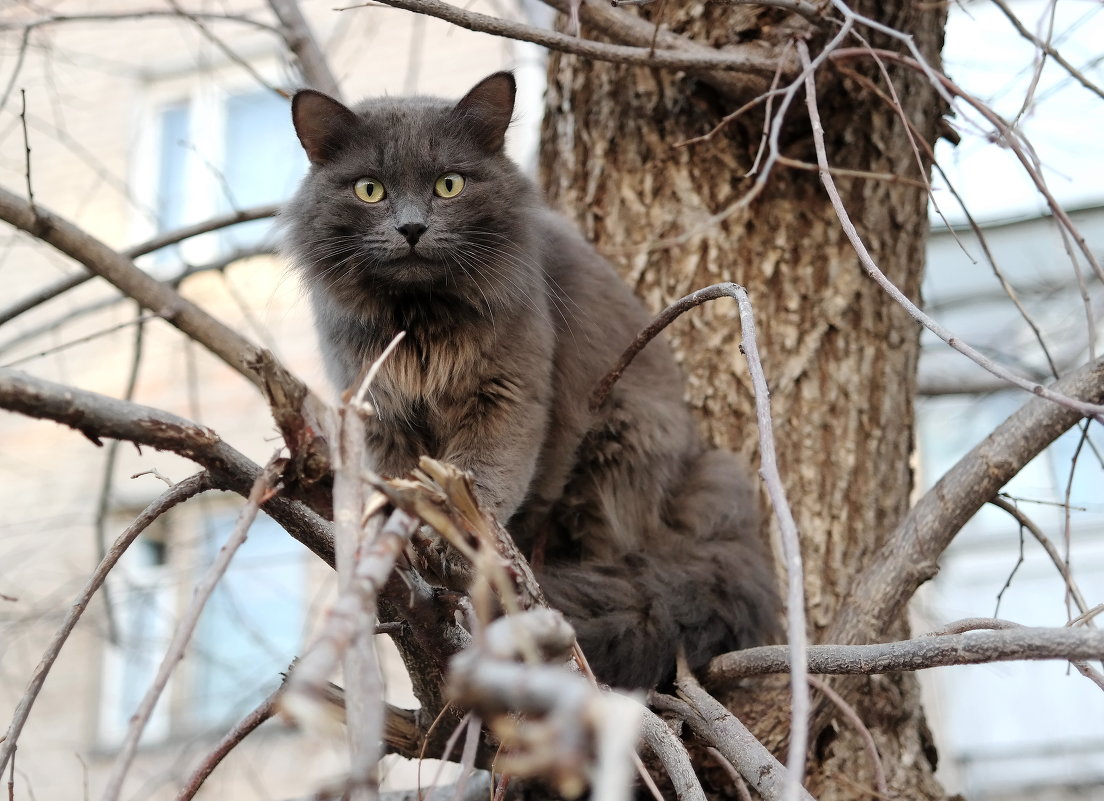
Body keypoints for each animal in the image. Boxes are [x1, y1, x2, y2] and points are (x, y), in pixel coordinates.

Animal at [284, 70, 786, 688]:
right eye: (369, 190)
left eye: (449, 185)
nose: (411, 227)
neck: (419, 321)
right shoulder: (381, 414)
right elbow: (399, 483)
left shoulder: (508, 398)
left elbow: (482, 479)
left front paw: (445, 539)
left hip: (615, 446)